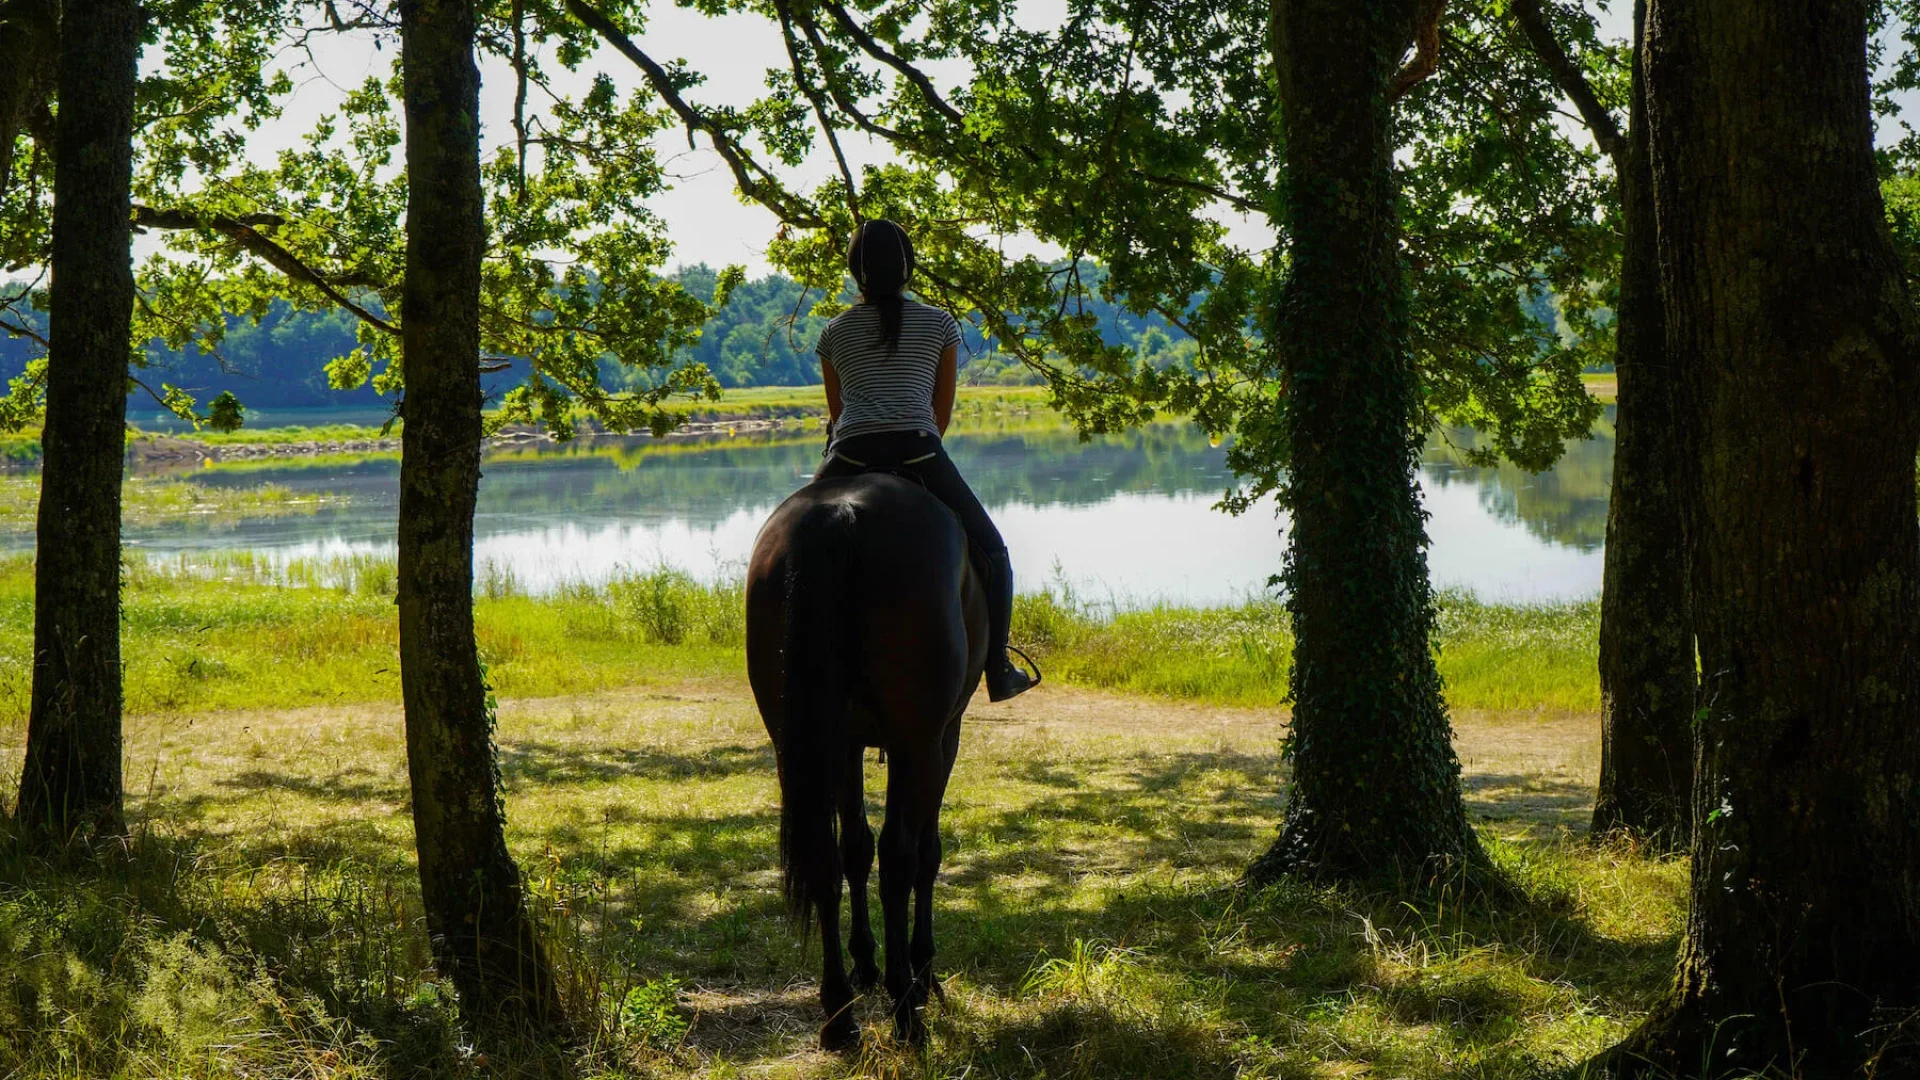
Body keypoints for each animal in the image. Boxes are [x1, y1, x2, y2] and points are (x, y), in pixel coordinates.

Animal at [744, 470, 990, 1045]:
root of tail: (840, 515)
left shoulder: (845, 745)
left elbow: (853, 848)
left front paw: (865, 963)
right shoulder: (942, 739)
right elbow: (925, 851)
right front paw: (921, 971)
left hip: (800, 743)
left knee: (823, 858)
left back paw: (838, 1013)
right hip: (915, 741)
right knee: (900, 856)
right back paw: (905, 1007)